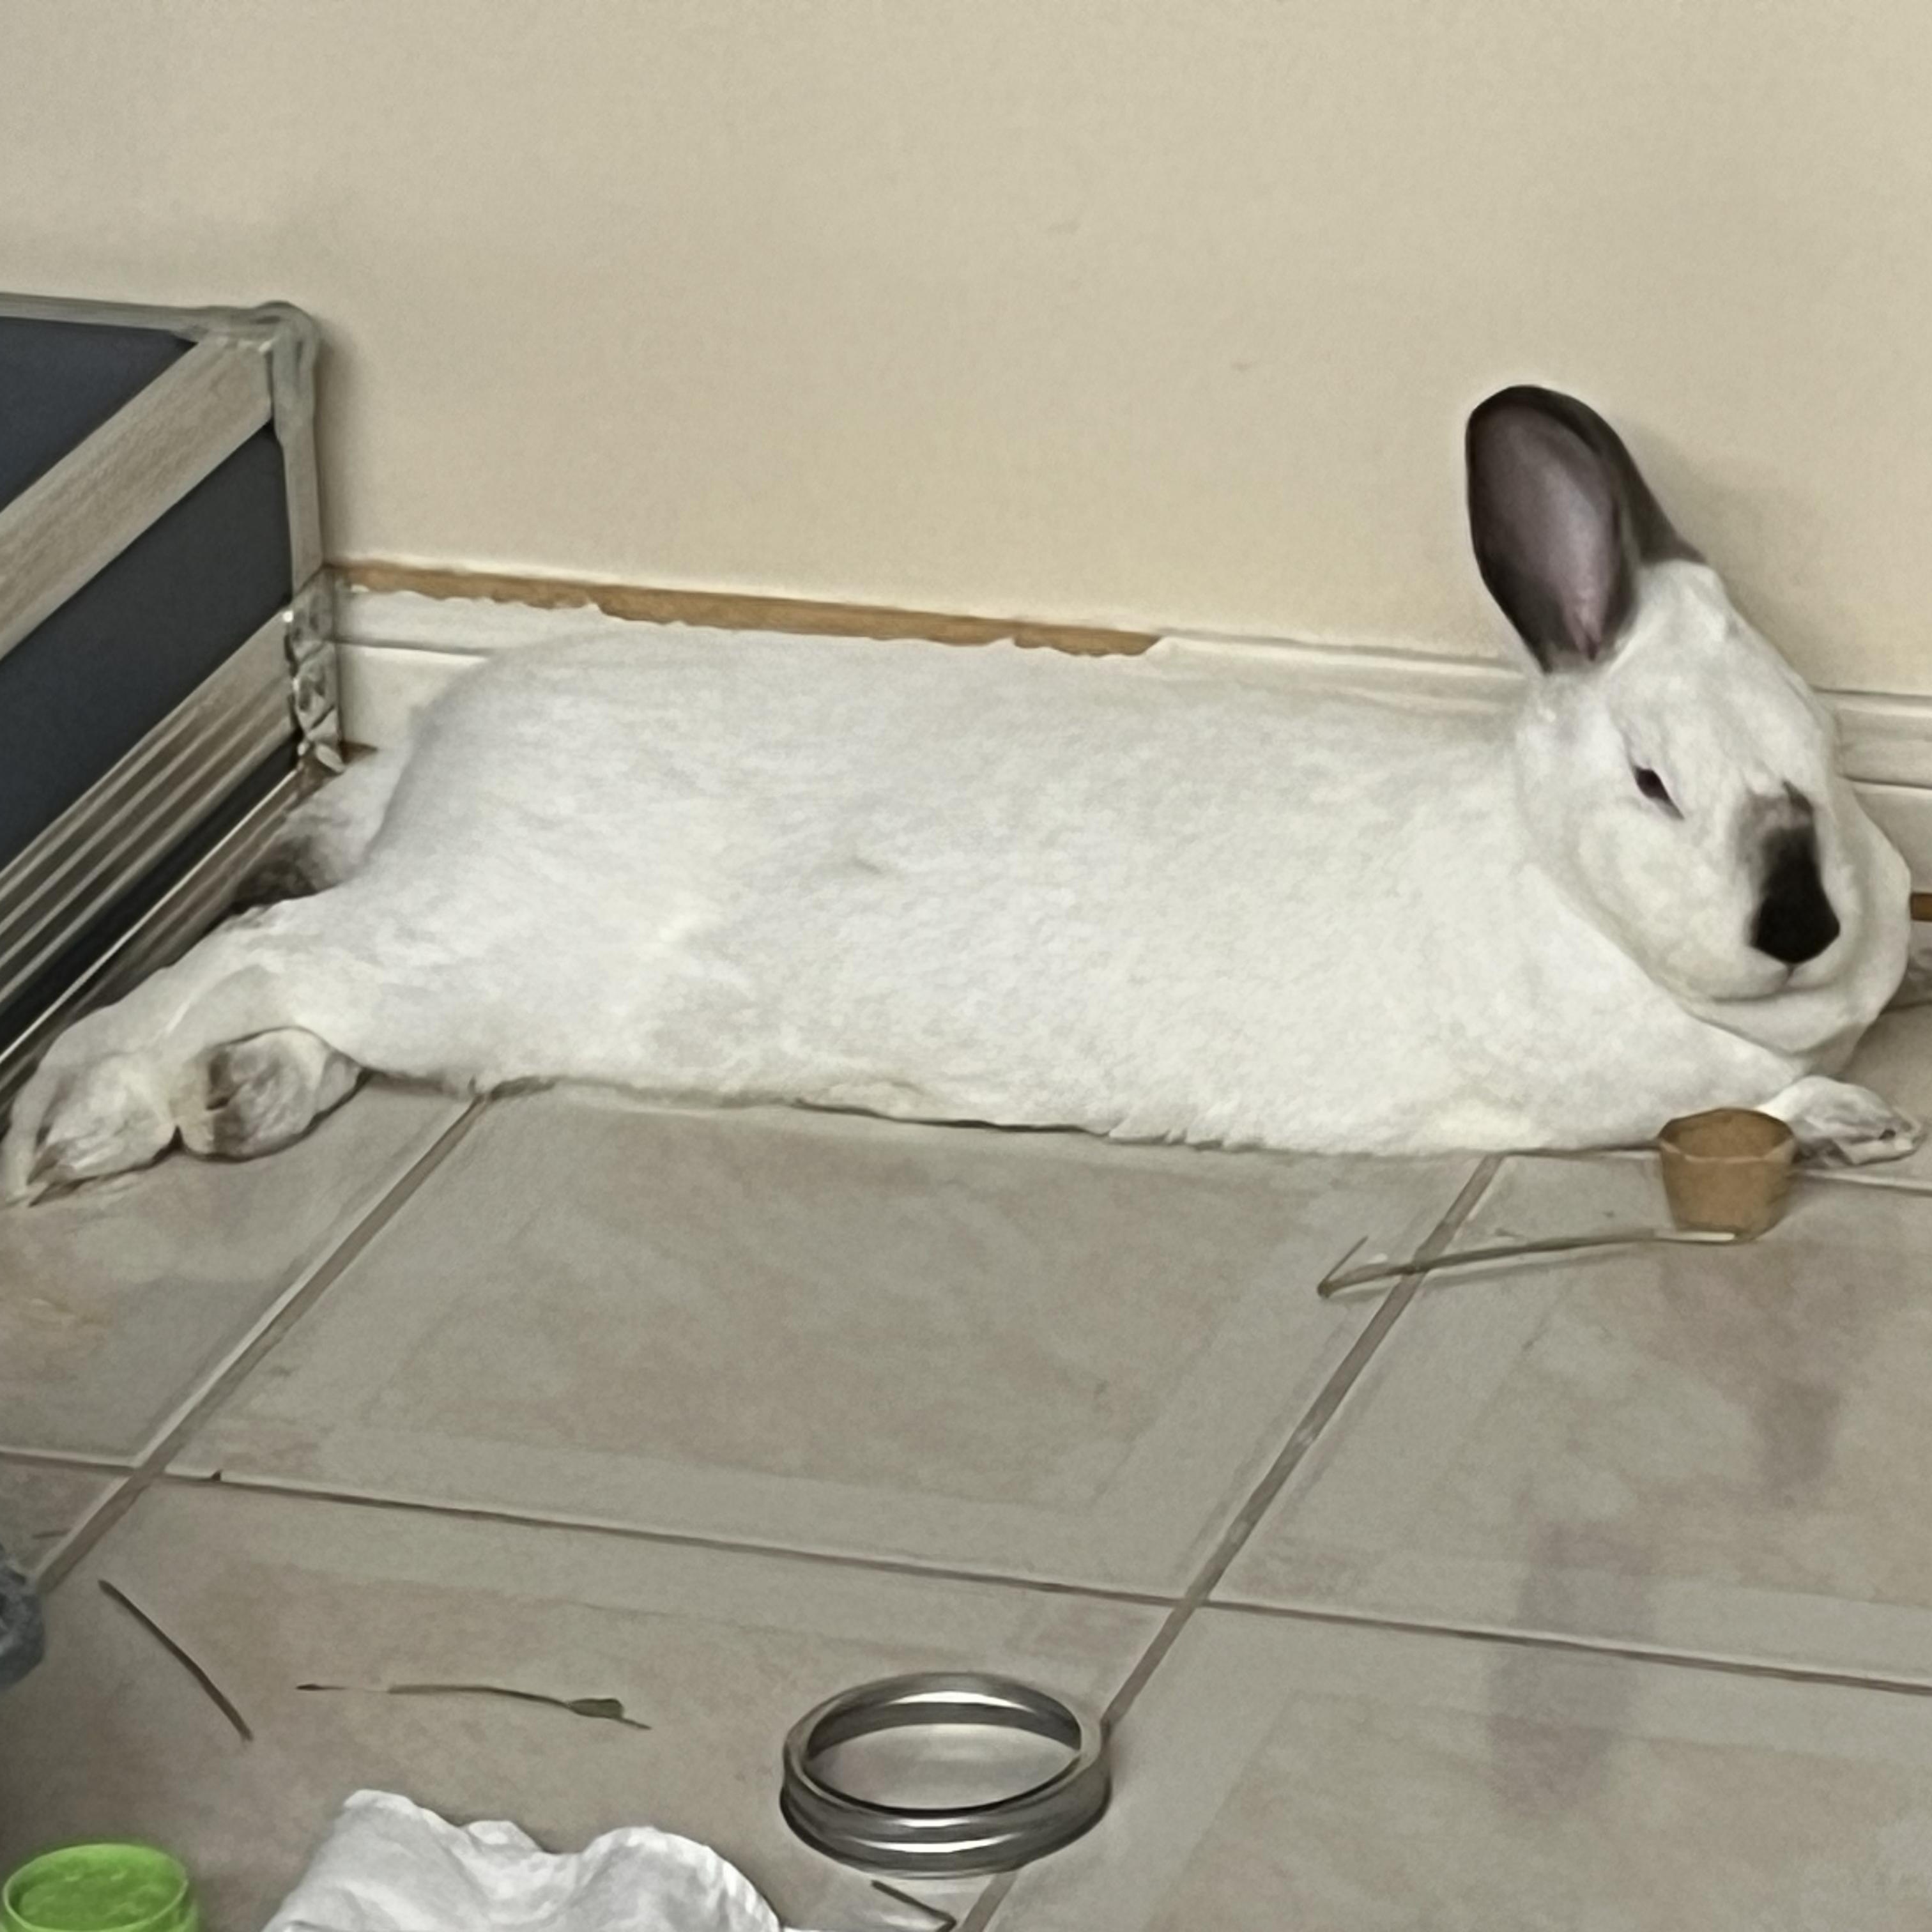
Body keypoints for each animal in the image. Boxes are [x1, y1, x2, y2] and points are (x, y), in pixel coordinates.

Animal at [2, 384, 1920, 1204]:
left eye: (1822, 748)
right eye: (1657, 781)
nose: (1804, 918)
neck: (1537, 866)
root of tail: (448, 745)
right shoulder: (1601, 1066)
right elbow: (1730, 1084)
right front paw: (1864, 1126)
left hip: (457, 978)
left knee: (284, 990)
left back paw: (227, 1106)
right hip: (481, 944)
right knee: (225, 967)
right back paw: (74, 1128)